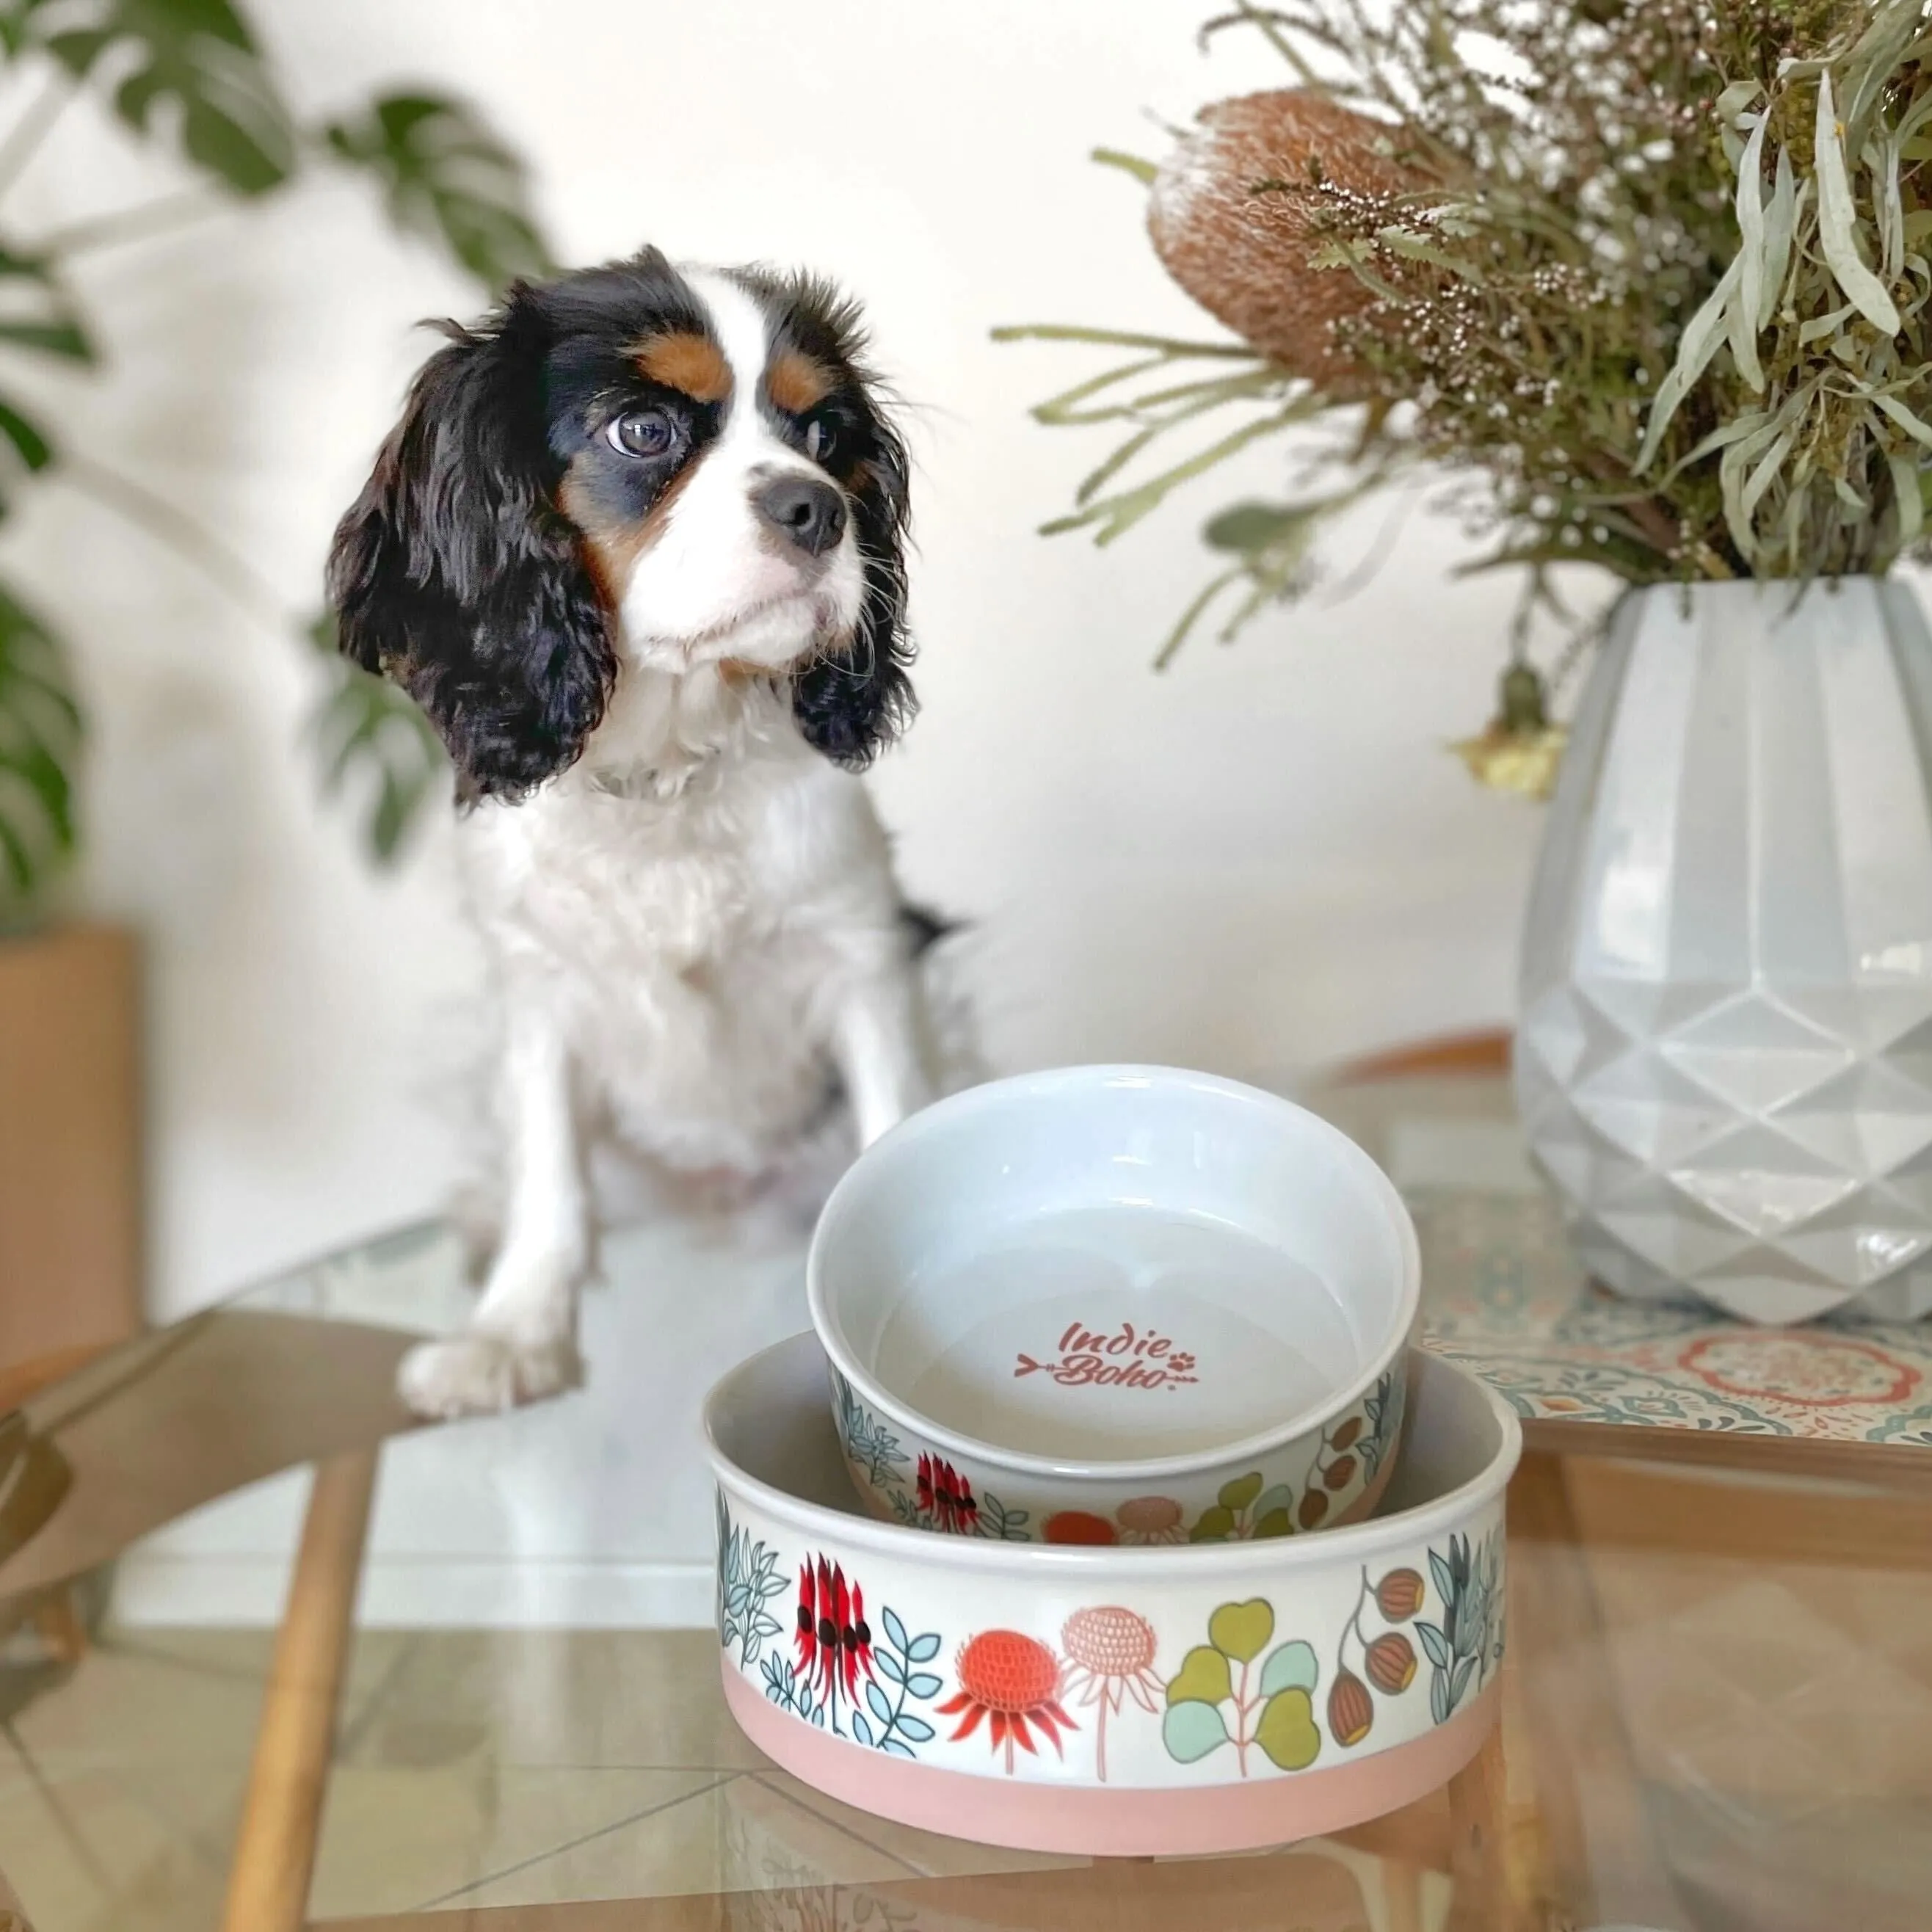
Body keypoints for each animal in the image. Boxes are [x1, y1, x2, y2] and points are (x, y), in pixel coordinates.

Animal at [332, 245, 950, 1422]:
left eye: (825, 438)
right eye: (645, 431)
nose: (818, 510)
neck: (669, 771)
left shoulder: (860, 954)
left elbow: (895, 1116)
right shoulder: (538, 994)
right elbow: (548, 1179)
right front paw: (512, 1334)